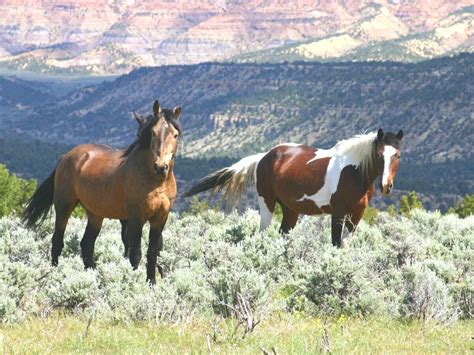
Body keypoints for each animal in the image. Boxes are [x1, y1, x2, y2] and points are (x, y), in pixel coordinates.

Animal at [21, 100, 181, 284]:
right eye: (153, 133)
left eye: (175, 135)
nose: (161, 167)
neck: (155, 182)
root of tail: (65, 157)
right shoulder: (136, 218)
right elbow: (135, 254)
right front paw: (133, 281)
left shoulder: (160, 219)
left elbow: (153, 253)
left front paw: (152, 284)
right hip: (64, 206)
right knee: (57, 241)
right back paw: (55, 275)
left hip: (95, 215)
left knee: (87, 244)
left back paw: (91, 276)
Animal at [185, 129, 404, 249]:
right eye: (379, 155)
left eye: (397, 155)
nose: (386, 186)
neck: (354, 172)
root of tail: (264, 156)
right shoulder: (338, 212)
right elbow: (335, 243)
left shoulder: (357, 214)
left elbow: (345, 244)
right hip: (267, 204)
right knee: (262, 233)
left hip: (290, 210)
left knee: (282, 234)